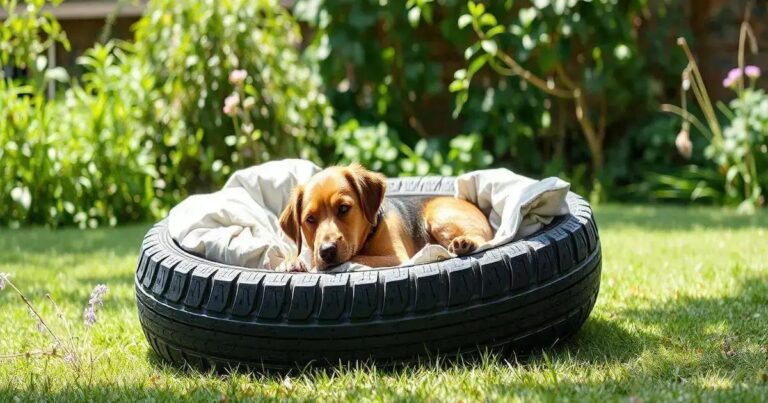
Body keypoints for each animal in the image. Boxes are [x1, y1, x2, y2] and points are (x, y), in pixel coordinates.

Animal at [278, 163, 492, 274]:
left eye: (344, 208)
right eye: (310, 219)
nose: (326, 251)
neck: (369, 236)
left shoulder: (395, 259)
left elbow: (355, 257)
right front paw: (293, 261)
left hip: (439, 217)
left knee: (483, 239)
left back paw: (464, 243)